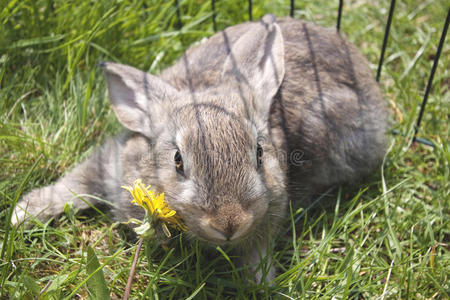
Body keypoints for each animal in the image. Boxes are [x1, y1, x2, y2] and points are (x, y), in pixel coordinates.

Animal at [13, 13, 386, 282]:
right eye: (178, 161)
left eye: (259, 154)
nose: (229, 223)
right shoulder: (111, 163)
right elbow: (76, 184)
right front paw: (22, 215)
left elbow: (259, 249)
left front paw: (262, 282)